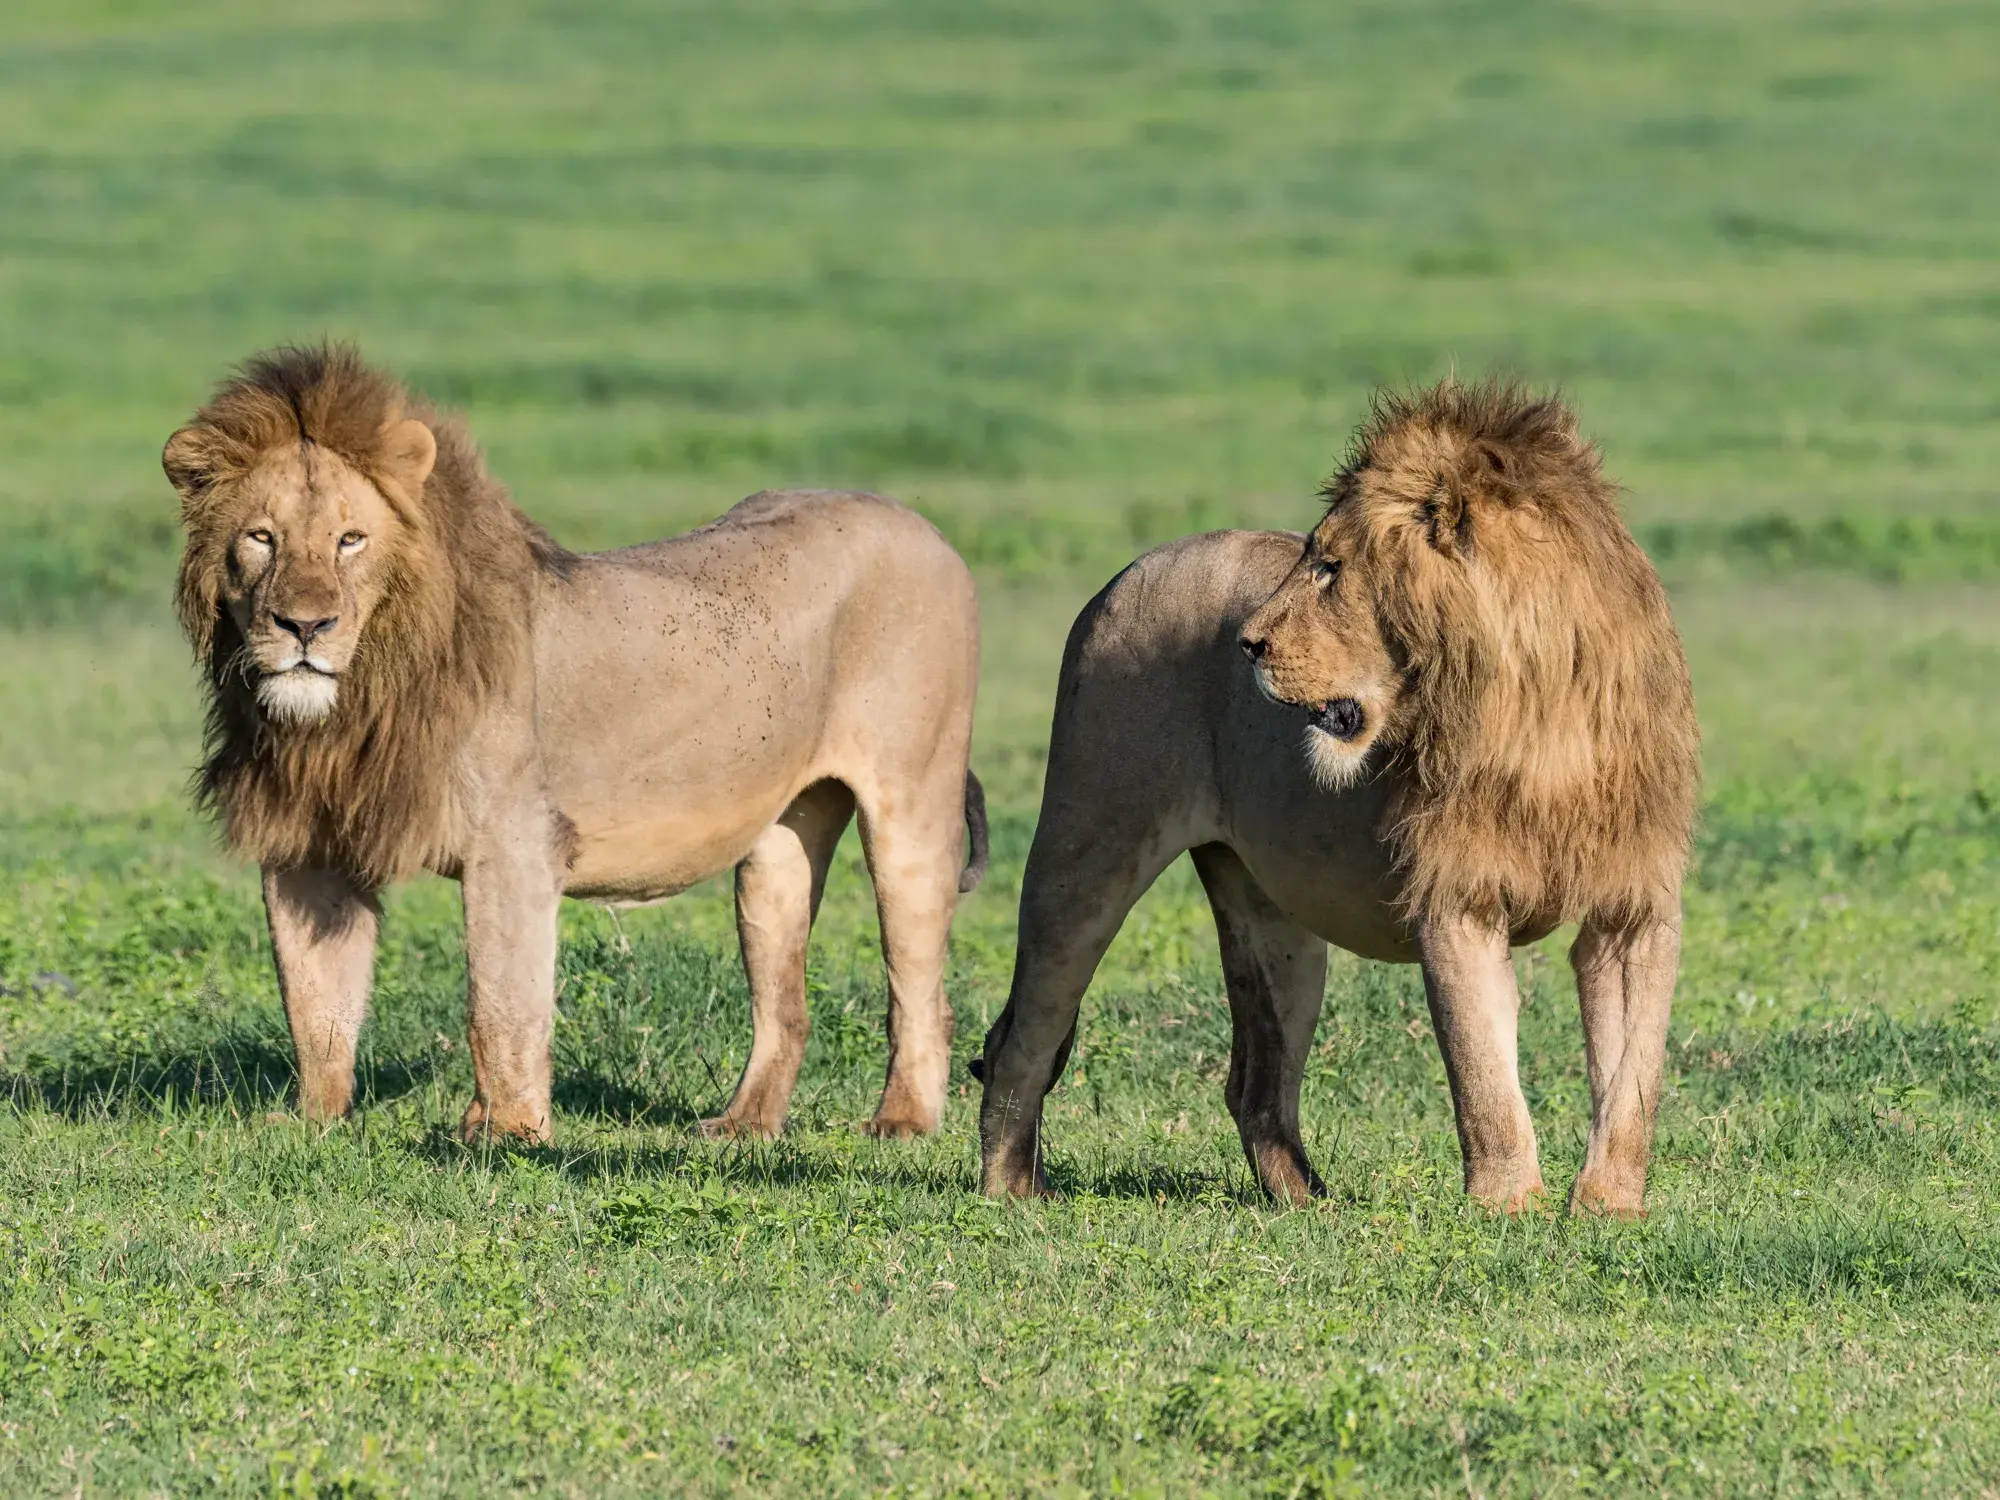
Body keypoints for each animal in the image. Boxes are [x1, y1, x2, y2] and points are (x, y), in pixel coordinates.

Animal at [163, 344, 986, 1144]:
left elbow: (500, 1004)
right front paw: (313, 1121)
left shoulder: (513, 842)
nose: (305, 627)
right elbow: (316, 1001)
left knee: (921, 993)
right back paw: (743, 1125)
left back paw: (902, 1121)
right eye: (261, 538)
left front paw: (507, 1133)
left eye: (350, 540)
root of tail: (925, 528)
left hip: (911, 812)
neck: (353, 704)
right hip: (780, 845)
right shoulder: (308, 846)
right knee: (785, 1004)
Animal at [974, 379, 1699, 1215]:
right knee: (1021, 1037)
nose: (1248, 644)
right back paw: (1009, 1192)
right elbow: (1485, 1078)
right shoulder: (1457, 902)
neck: (1534, 718)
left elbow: (1633, 1081)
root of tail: (1124, 573)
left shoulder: (1633, 907)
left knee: (1254, 1083)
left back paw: (1306, 1202)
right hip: (1088, 847)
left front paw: (1609, 1207)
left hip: (1274, 924)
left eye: (1329, 567)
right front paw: (1505, 1207)